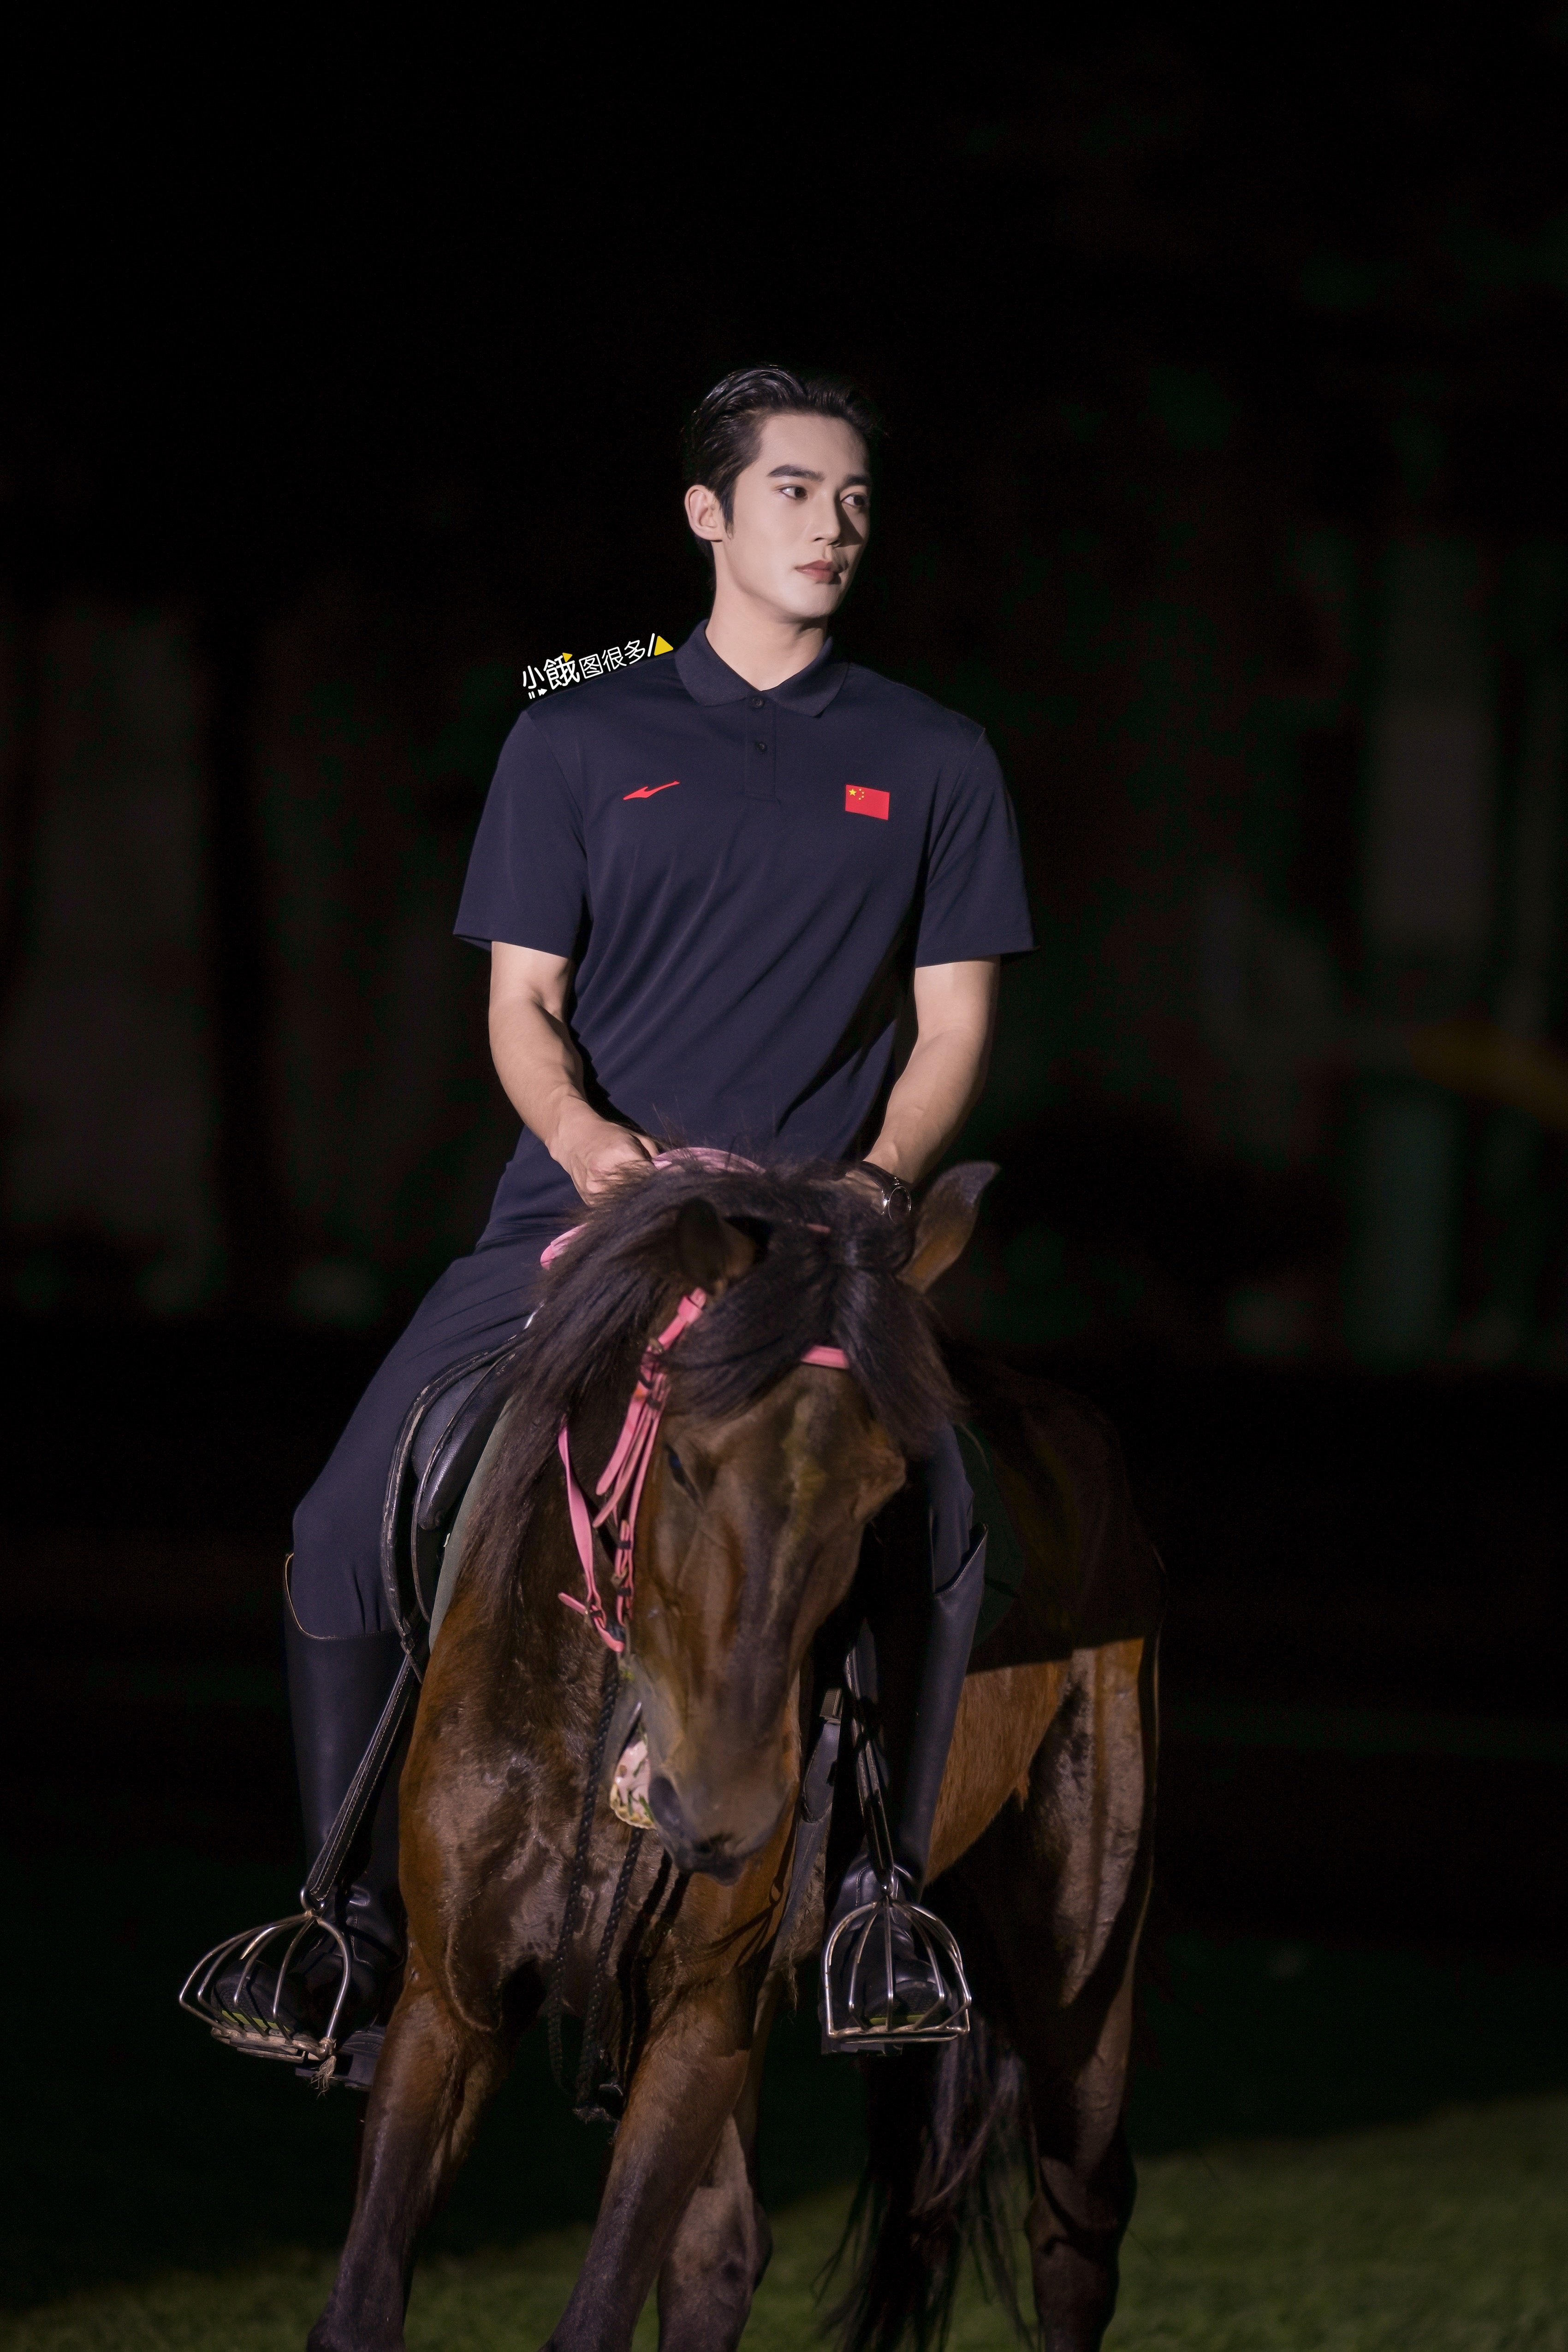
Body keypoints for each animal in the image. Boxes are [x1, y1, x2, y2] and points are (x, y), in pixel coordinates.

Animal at [306, 1158, 1162, 2352]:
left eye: (883, 1489)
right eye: (680, 1460)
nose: (718, 1810)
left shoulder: (700, 2014)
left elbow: (598, 2313)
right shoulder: (452, 2003)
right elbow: (361, 2304)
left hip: (1075, 1957)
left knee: (1076, 2222)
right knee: (720, 2251)